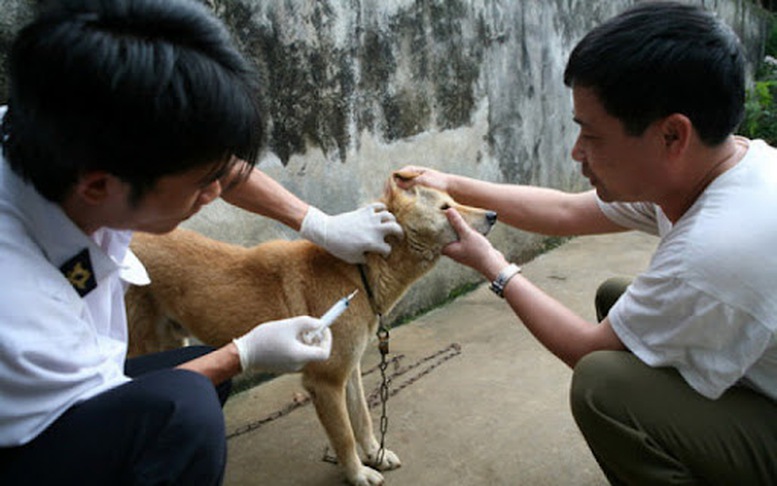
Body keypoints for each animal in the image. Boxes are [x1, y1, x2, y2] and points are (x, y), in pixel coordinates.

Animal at [124, 172, 494, 486]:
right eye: (446, 208)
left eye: (454, 200)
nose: (492, 214)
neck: (359, 270)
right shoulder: (325, 383)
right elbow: (344, 436)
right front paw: (357, 473)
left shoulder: (350, 371)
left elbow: (362, 419)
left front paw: (374, 454)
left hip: (174, 338)